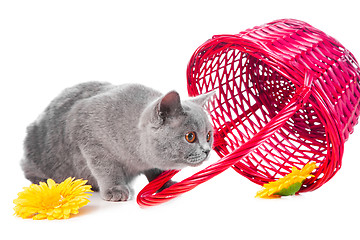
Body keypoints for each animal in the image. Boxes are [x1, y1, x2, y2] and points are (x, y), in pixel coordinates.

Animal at [21, 82, 214, 201]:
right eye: (190, 136)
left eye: (209, 136)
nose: (207, 150)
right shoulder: (91, 140)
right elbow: (106, 169)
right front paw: (115, 190)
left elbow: (157, 170)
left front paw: (165, 184)